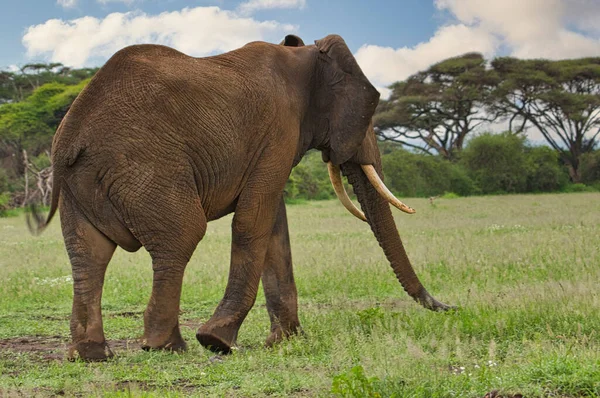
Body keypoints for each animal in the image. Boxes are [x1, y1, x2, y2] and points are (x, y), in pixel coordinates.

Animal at [28, 33, 450, 360]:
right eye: (369, 109)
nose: (450, 308)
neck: (305, 58)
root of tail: (71, 133)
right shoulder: (279, 130)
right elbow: (254, 219)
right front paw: (216, 341)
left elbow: (274, 224)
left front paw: (286, 342)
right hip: (145, 167)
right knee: (182, 236)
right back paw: (166, 347)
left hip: (83, 183)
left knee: (88, 253)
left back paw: (91, 355)